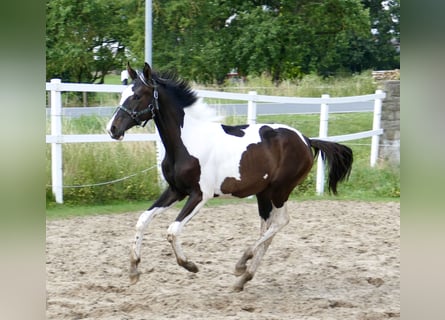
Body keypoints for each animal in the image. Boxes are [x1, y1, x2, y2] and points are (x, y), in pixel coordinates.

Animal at [106, 62, 352, 292]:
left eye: (137, 96)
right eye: (122, 94)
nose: (112, 129)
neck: (187, 140)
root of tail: (306, 140)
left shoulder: (200, 195)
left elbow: (172, 230)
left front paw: (190, 265)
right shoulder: (175, 190)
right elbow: (142, 220)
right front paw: (134, 271)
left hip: (280, 190)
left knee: (281, 222)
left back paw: (241, 263)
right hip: (264, 193)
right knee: (268, 228)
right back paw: (243, 278)